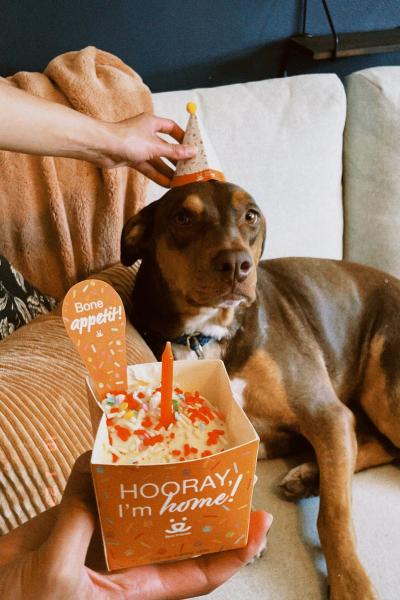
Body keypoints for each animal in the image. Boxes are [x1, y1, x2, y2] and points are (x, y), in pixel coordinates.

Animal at [121, 180, 400, 600]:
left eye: (250, 215)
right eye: (182, 218)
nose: (237, 265)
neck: (207, 335)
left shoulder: (325, 412)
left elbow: (334, 513)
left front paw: (351, 584)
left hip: (386, 391)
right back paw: (309, 476)